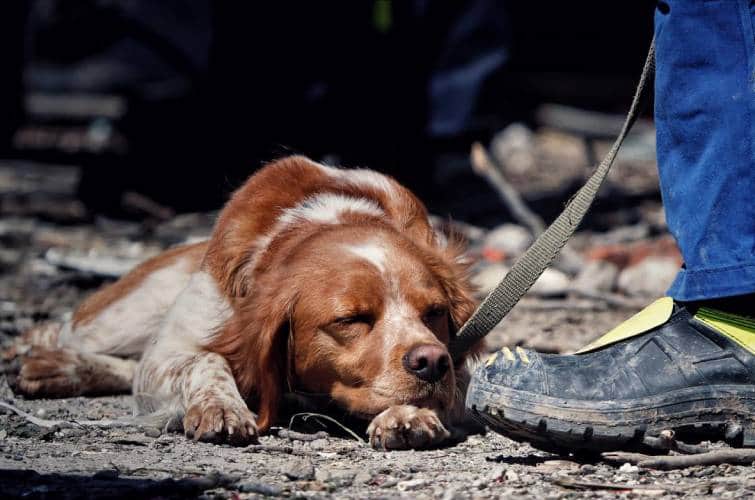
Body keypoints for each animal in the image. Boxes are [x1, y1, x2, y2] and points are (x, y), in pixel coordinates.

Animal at [11, 156, 478, 450]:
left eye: (435, 313)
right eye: (352, 319)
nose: (431, 362)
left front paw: (407, 414)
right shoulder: (169, 350)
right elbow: (206, 359)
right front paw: (220, 406)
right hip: (120, 319)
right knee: (68, 331)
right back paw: (41, 354)